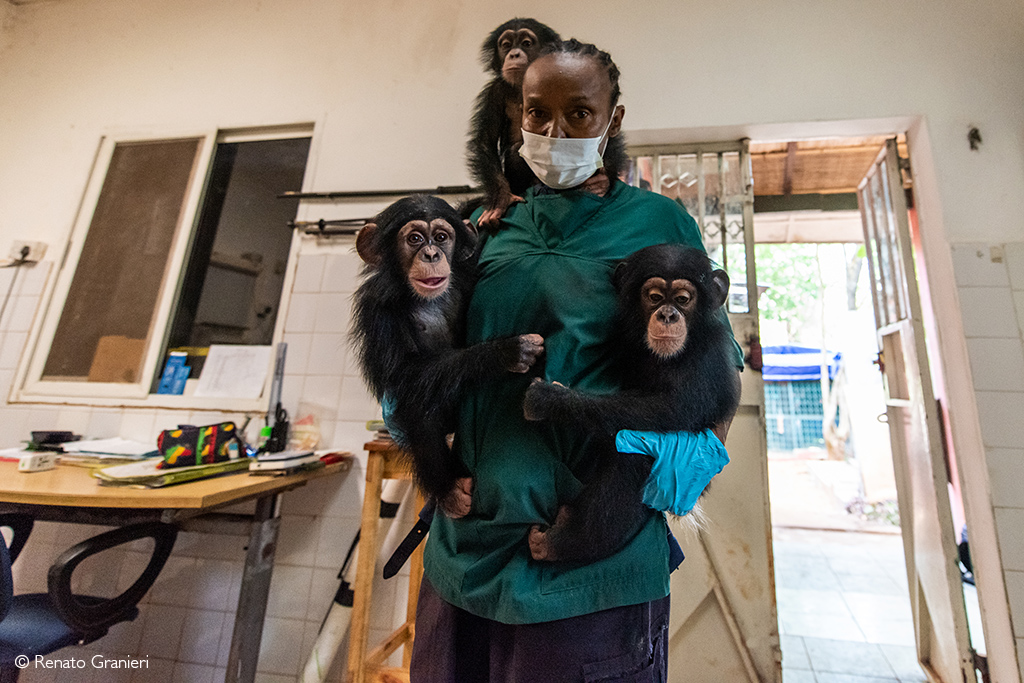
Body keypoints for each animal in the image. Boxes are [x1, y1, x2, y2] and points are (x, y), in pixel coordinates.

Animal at [351, 195, 544, 516]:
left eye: (441, 237)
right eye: (414, 239)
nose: (431, 254)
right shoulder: (376, 309)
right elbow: (404, 374)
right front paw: (504, 352)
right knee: (419, 408)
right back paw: (449, 491)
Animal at [467, 18, 560, 231]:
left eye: (526, 43)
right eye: (506, 45)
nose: (514, 54)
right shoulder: (494, 93)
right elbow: (486, 140)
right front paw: (500, 200)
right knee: (517, 149)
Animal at [522, 243, 741, 562]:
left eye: (683, 299)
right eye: (654, 297)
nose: (668, 315)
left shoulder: (707, 359)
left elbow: (675, 408)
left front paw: (551, 400)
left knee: (635, 456)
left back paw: (564, 542)